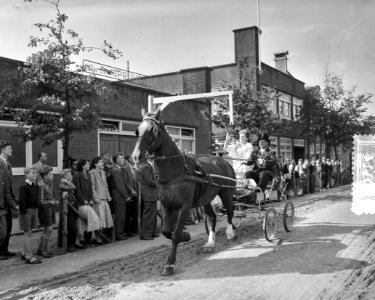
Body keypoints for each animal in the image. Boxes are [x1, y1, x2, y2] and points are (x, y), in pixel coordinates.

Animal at [134, 107, 236, 276]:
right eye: (137, 130)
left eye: (153, 131)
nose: (136, 156)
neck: (175, 170)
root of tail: (223, 160)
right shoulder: (167, 205)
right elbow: (166, 231)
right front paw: (186, 236)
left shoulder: (185, 207)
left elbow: (175, 235)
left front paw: (169, 264)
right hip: (206, 199)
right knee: (212, 217)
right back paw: (210, 242)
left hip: (226, 192)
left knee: (230, 211)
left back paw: (230, 232)